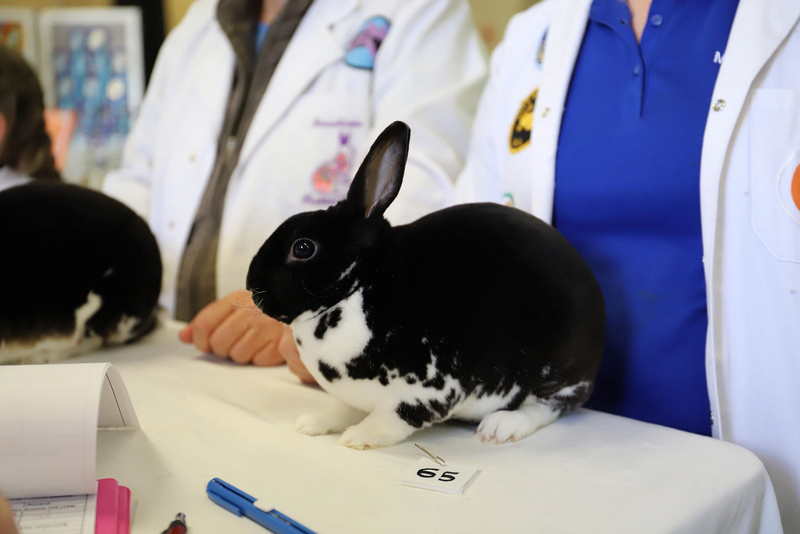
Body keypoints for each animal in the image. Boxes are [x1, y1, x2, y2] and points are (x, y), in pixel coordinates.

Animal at [246, 121, 605, 450]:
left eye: (303, 248)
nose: (251, 285)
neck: (357, 287)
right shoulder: (351, 395)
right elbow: (341, 408)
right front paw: (311, 424)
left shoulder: (430, 389)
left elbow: (394, 417)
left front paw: (358, 438)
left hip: (559, 373)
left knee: (550, 407)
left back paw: (500, 427)